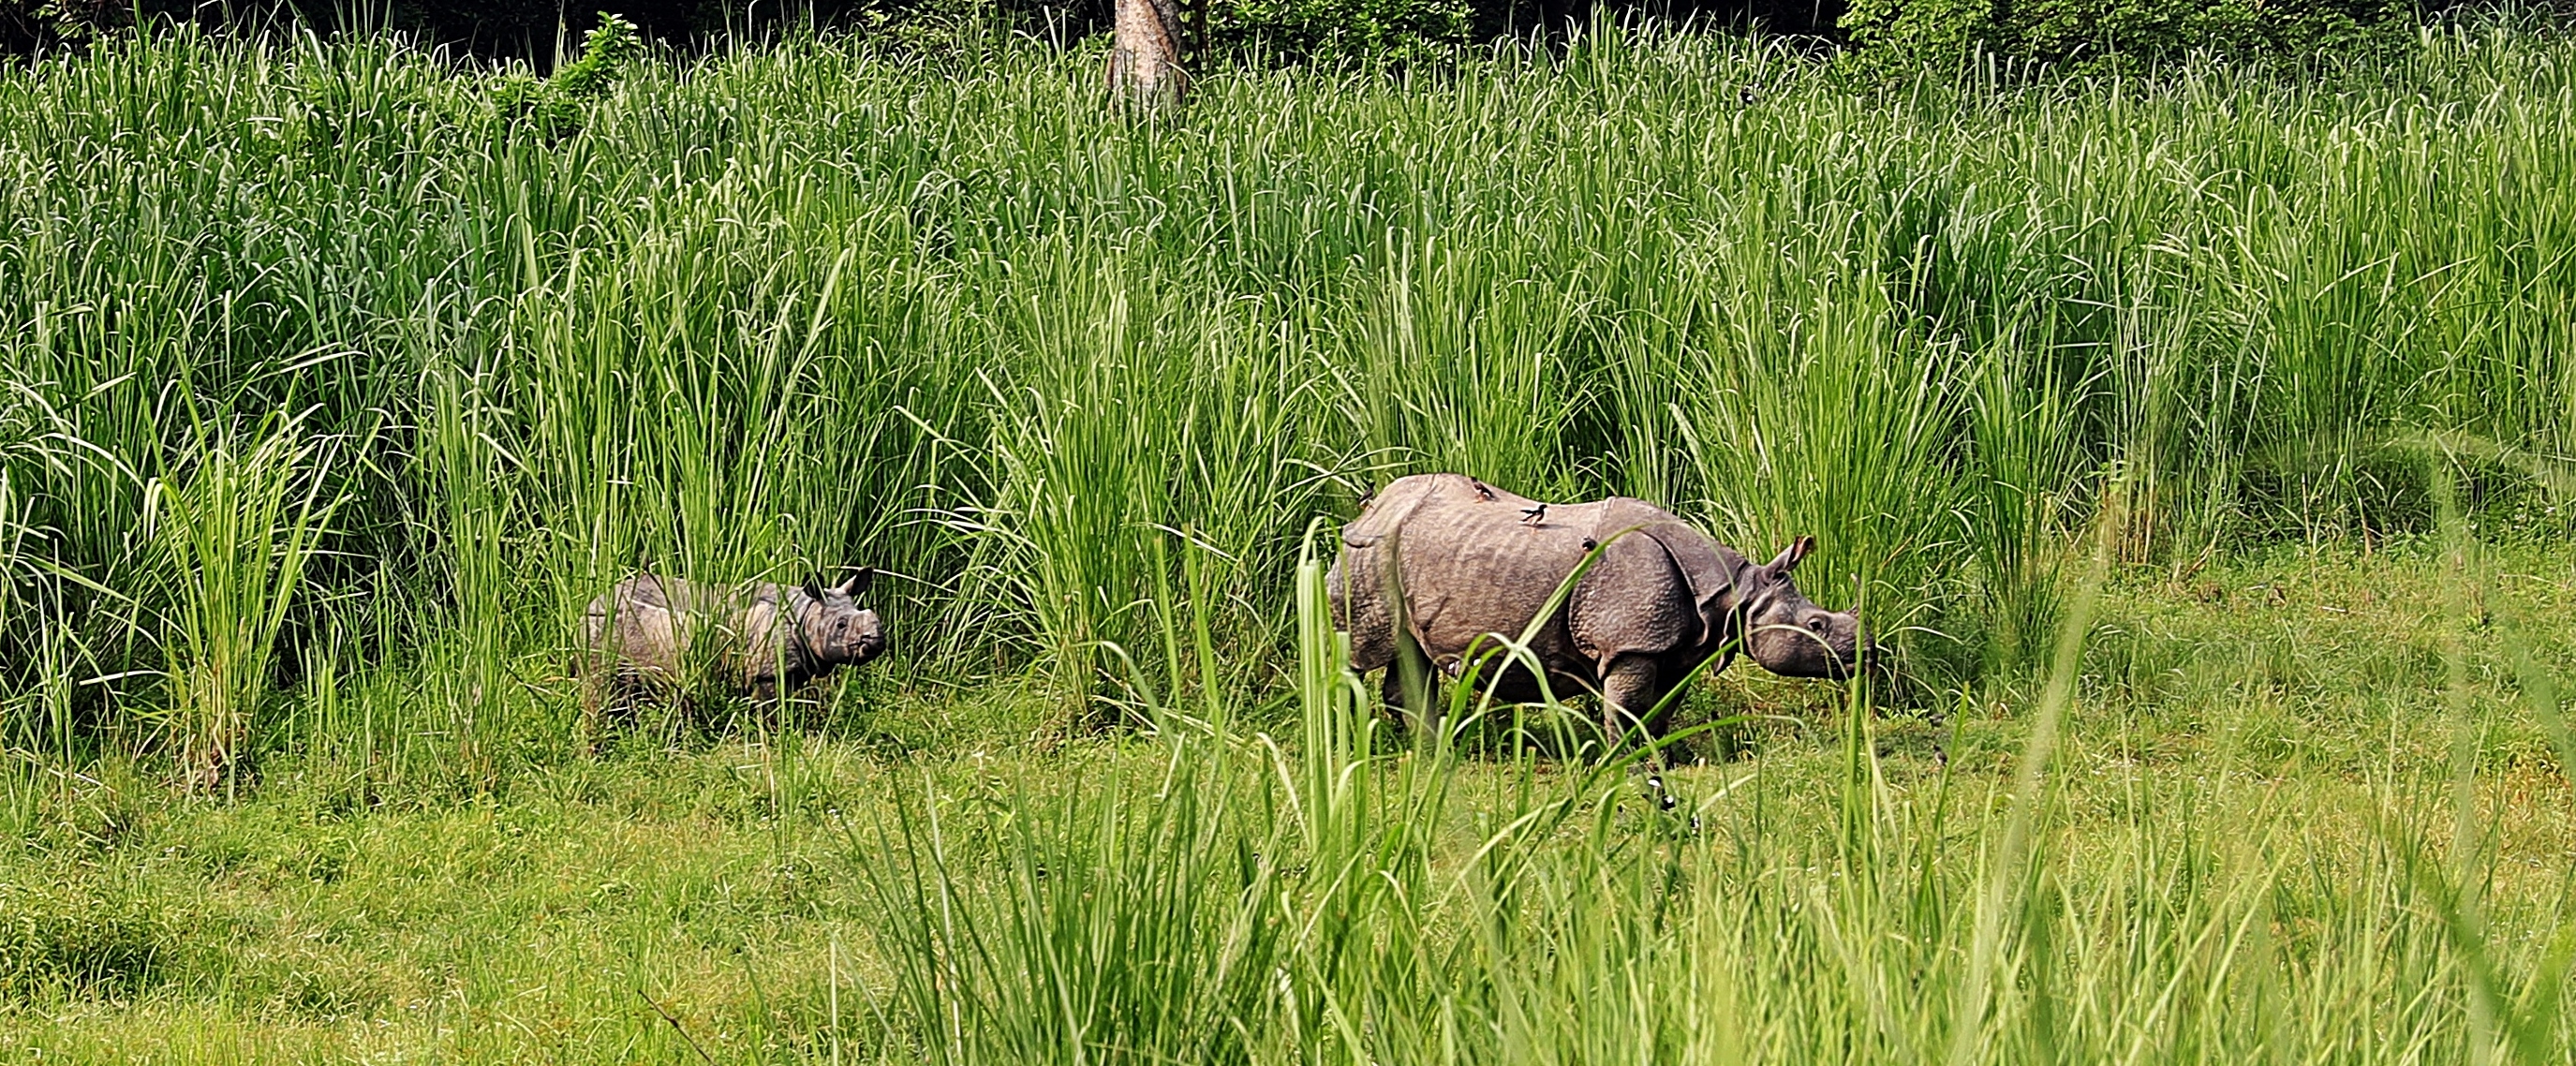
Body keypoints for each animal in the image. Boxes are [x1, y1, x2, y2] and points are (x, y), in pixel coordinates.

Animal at [580, 569, 887, 720]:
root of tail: (594, 600)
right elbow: (769, 710)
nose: (876, 642)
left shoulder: (791, 669)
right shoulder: (766, 672)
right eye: (841, 625)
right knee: (602, 686)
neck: (807, 611)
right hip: (605, 627)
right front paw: (776, 733)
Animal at [1328, 473, 1871, 741]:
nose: (1868, 654)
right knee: (1361, 652)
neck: (1734, 591)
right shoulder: (1631, 641)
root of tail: (1373, 505)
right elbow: (1627, 706)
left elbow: (1662, 706)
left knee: (1411, 653)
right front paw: (1622, 760)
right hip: (1370, 554)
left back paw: (1431, 750)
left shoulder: (1678, 643)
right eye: (1816, 624)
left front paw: (1666, 755)